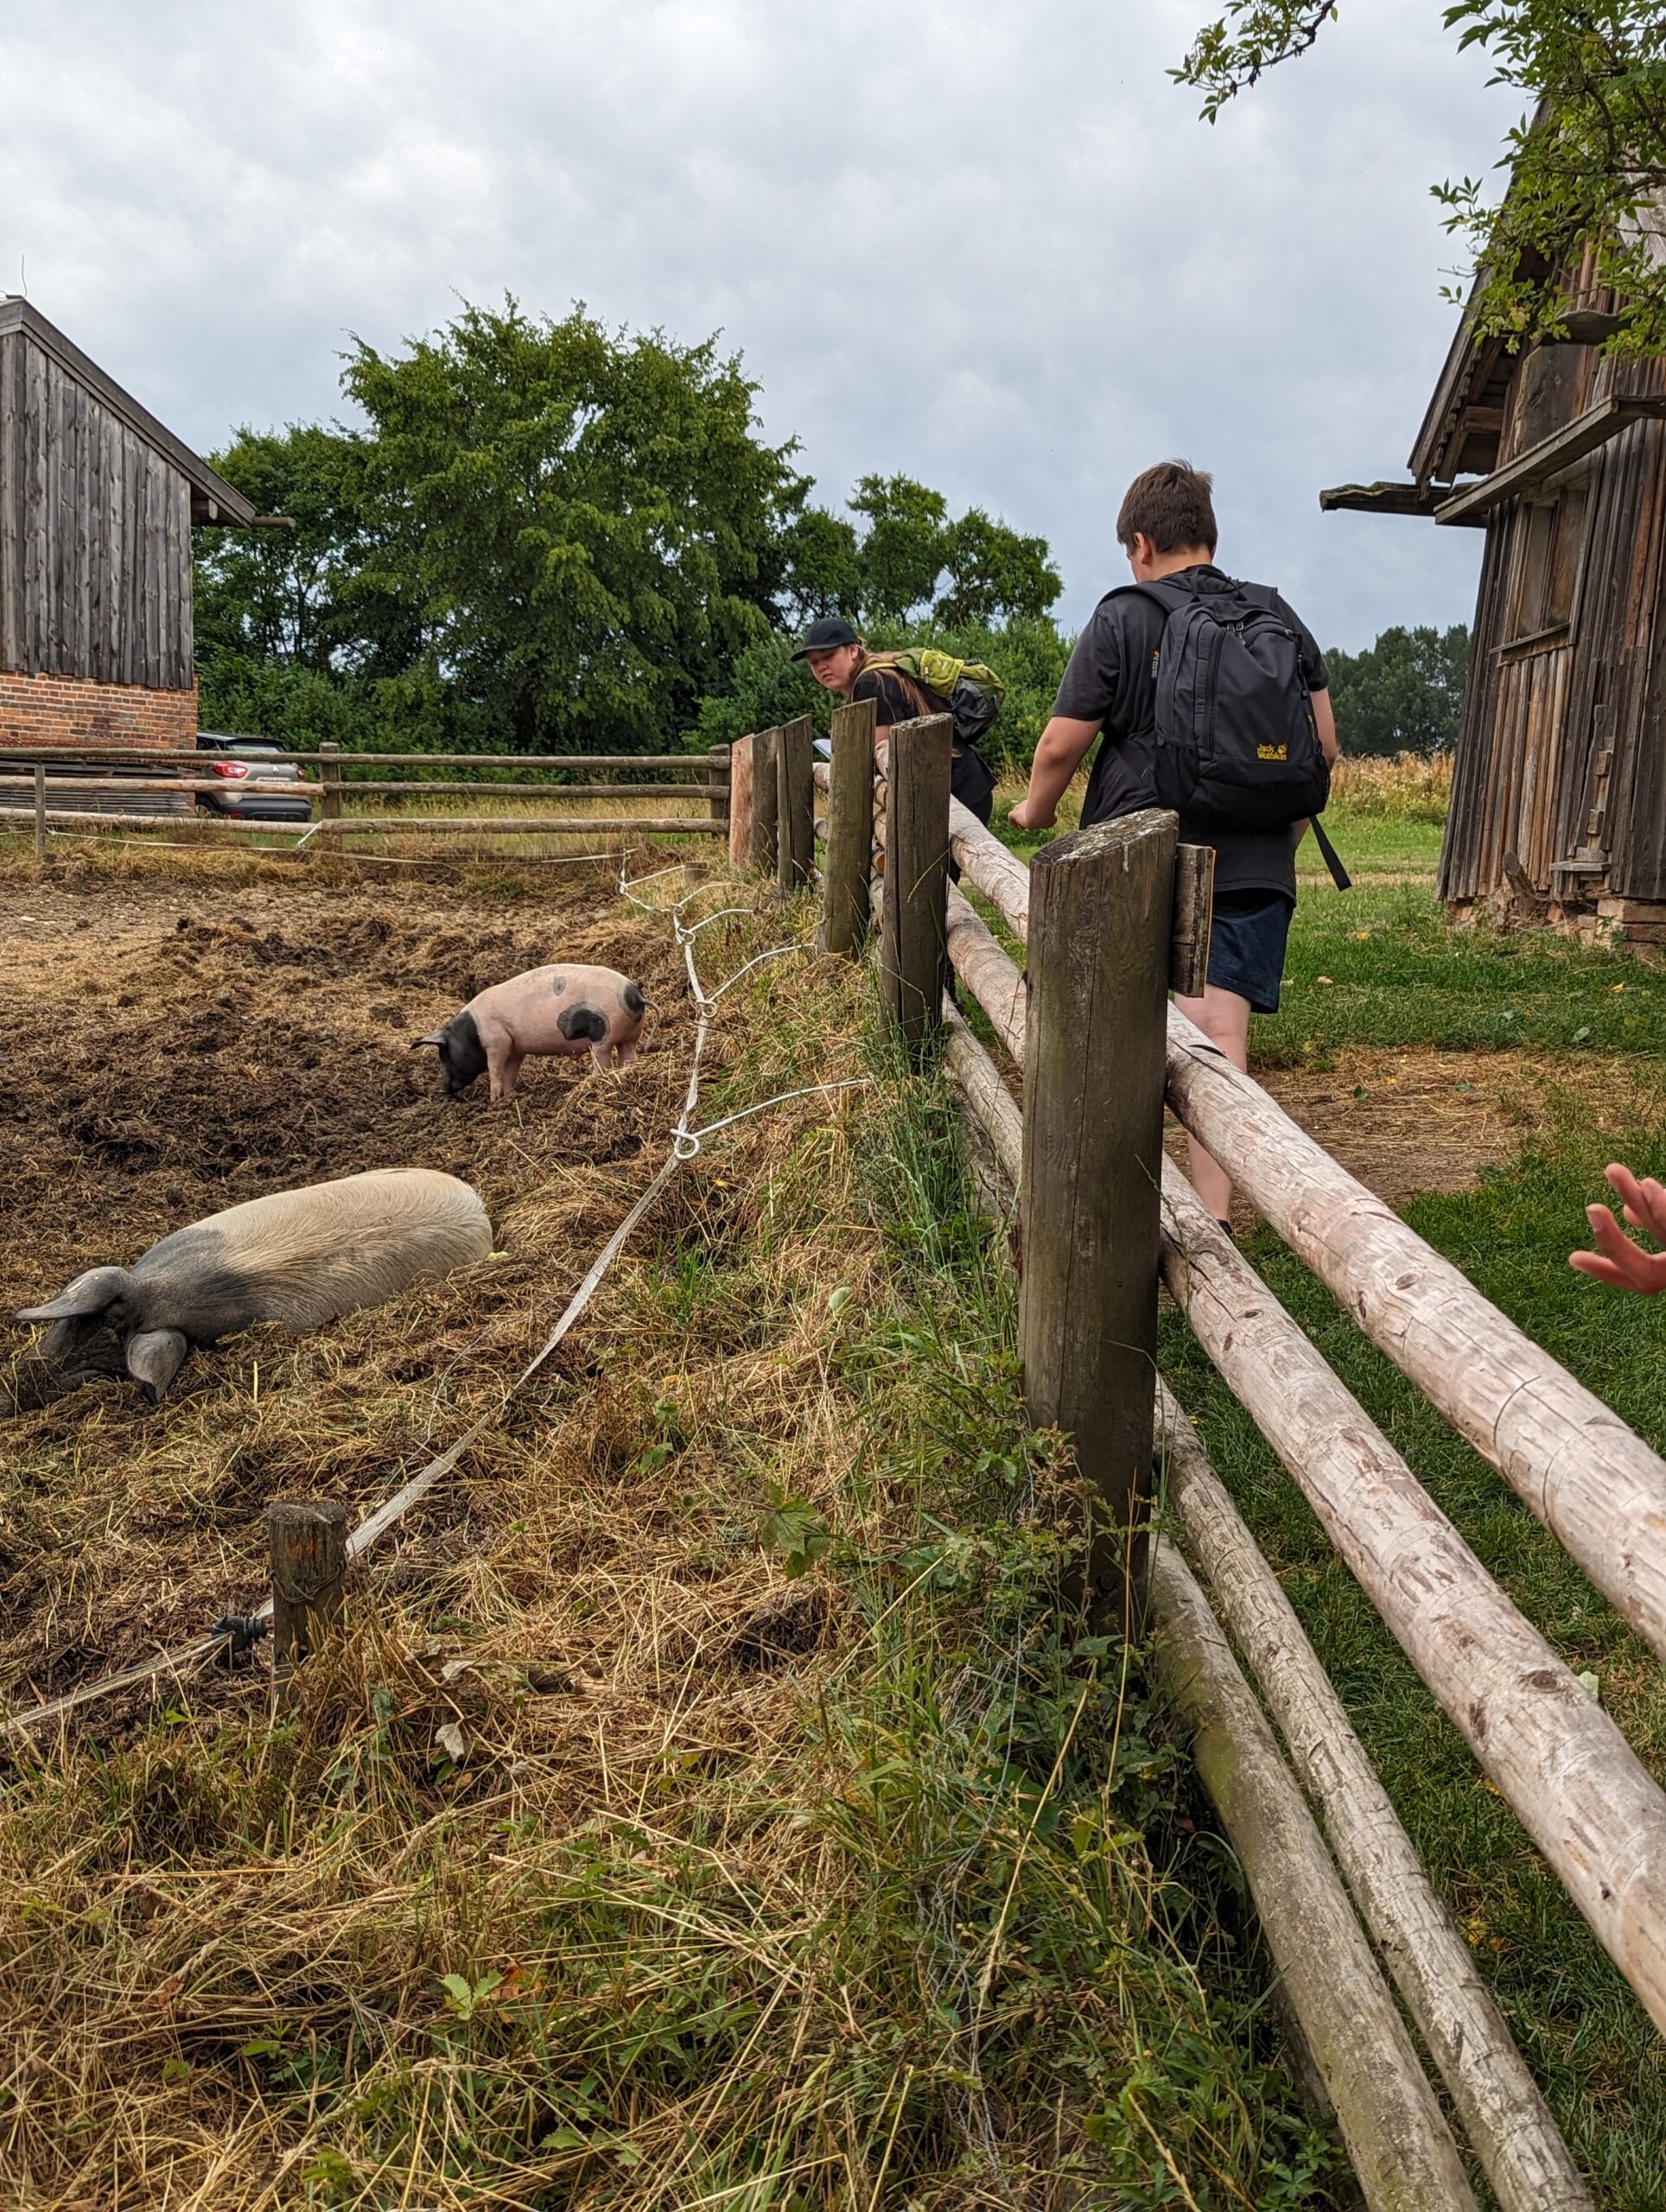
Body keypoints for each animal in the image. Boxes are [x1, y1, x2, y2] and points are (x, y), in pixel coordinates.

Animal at [413, 969, 645, 1106]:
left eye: (443, 1055)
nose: (444, 1088)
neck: (473, 1032)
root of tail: (634, 994)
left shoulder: (497, 1041)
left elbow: (495, 1070)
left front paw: (494, 1101)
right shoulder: (515, 1048)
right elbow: (510, 1072)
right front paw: (509, 1097)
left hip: (602, 1034)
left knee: (603, 1062)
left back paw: (592, 1082)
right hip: (630, 1036)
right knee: (628, 1057)